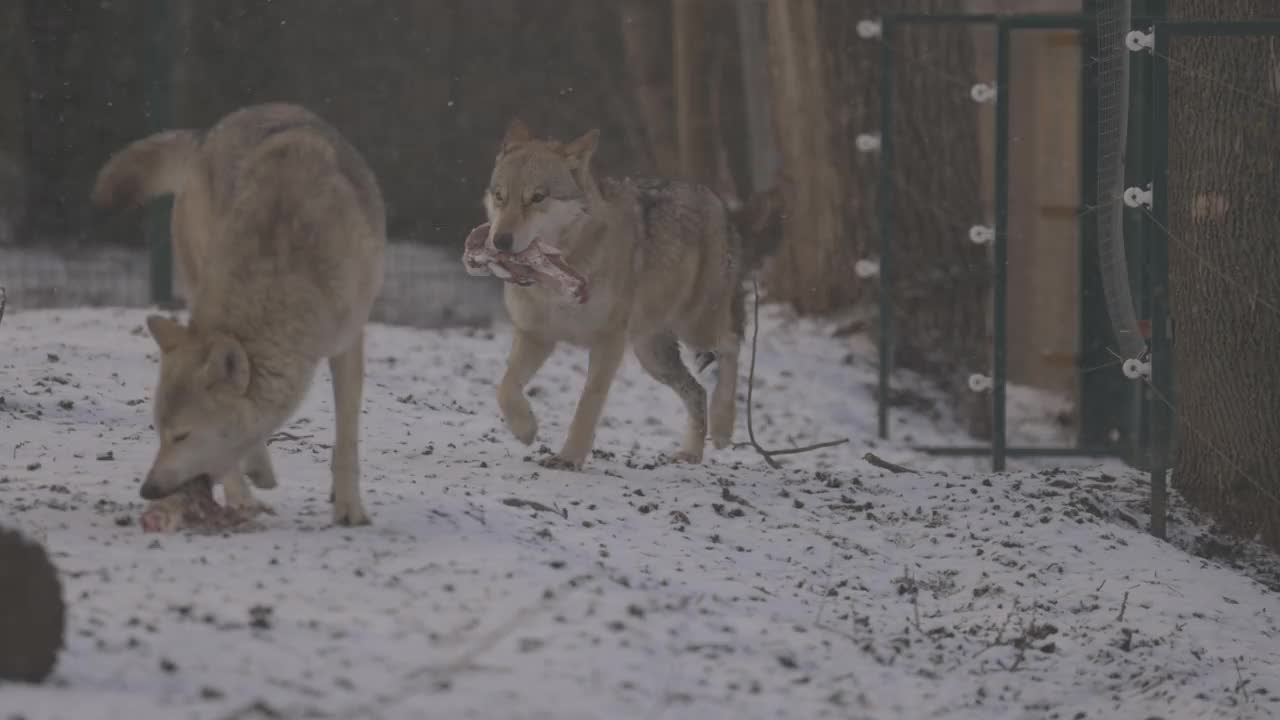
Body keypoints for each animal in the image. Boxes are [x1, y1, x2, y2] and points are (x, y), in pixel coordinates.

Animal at [90, 101, 384, 525]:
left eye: (181, 436)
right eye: (158, 431)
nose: (148, 490)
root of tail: (205, 136)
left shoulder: (348, 343)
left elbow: (345, 440)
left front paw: (349, 509)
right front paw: (250, 480)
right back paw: (249, 486)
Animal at [471, 119, 768, 468]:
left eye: (538, 197)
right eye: (500, 196)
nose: (500, 241)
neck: (556, 278)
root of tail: (718, 203)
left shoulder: (607, 343)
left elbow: (588, 403)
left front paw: (568, 459)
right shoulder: (536, 336)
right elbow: (504, 388)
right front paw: (526, 430)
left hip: (696, 327)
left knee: (732, 347)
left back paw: (722, 427)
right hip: (652, 356)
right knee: (697, 390)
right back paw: (691, 453)